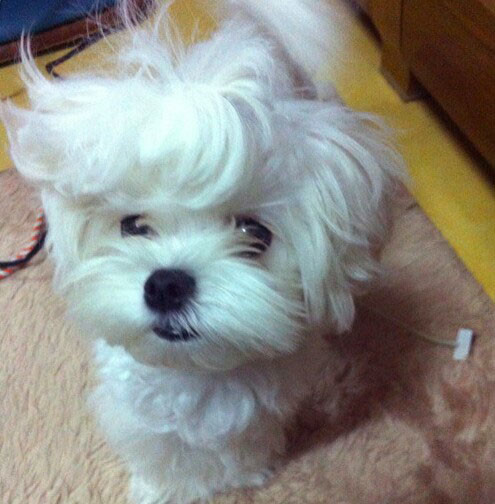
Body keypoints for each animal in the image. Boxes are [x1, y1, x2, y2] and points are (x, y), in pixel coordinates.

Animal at [0, 1, 404, 502]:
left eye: (255, 233)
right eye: (133, 226)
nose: (166, 284)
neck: (197, 371)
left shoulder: (263, 406)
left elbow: (244, 441)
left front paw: (246, 473)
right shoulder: (138, 409)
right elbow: (161, 447)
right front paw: (162, 489)